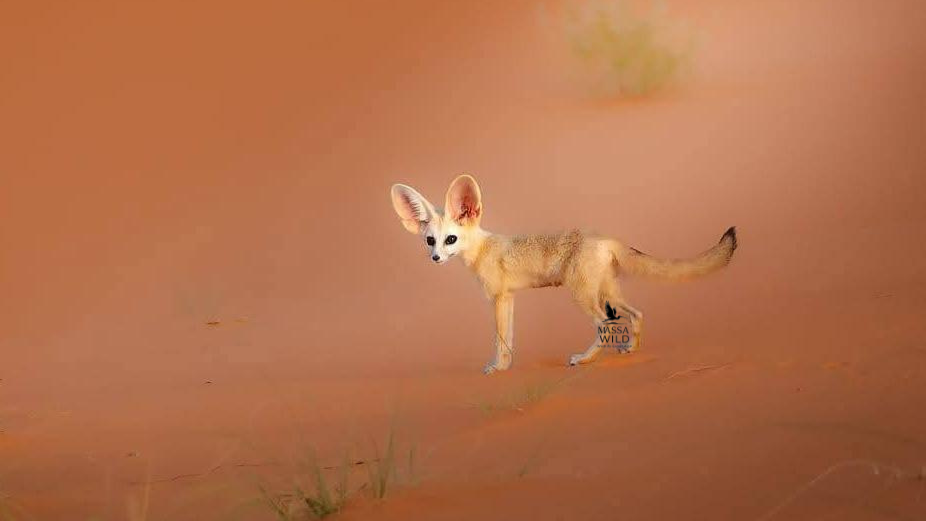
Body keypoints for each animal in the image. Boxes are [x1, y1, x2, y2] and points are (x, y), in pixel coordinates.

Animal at [390, 174, 737, 374]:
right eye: (430, 240)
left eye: (451, 239)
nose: (435, 258)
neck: (482, 248)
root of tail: (604, 236)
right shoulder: (510, 298)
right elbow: (509, 338)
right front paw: (506, 367)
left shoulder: (498, 297)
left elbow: (500, 339)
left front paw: (497, 368)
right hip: (608, 292)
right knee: (637, 314)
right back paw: (629, 350)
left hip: (582, 295)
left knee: (606, 325)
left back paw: (584, 360)